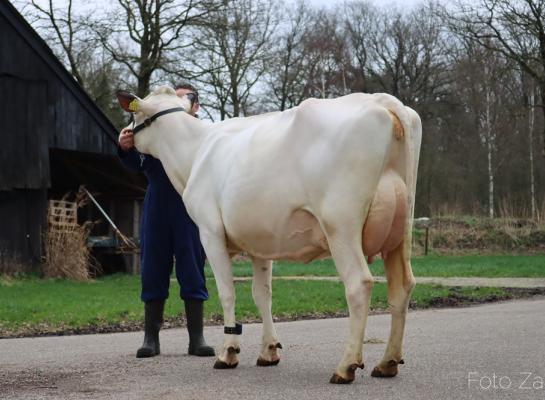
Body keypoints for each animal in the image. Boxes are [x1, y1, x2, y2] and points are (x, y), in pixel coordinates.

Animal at [115, 87, 420, 384]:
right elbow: (262, 294)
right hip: (401, 229)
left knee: (359, 283)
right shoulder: (261, 242)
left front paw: (228, 352)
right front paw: (269, 351)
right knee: (402, 286)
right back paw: (388, 362)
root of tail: (380, 100)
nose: (125, 135)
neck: (194, 153)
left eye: (134, 114)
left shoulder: (209, 232)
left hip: (340, 225)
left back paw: (346, 367)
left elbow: (227, 292)